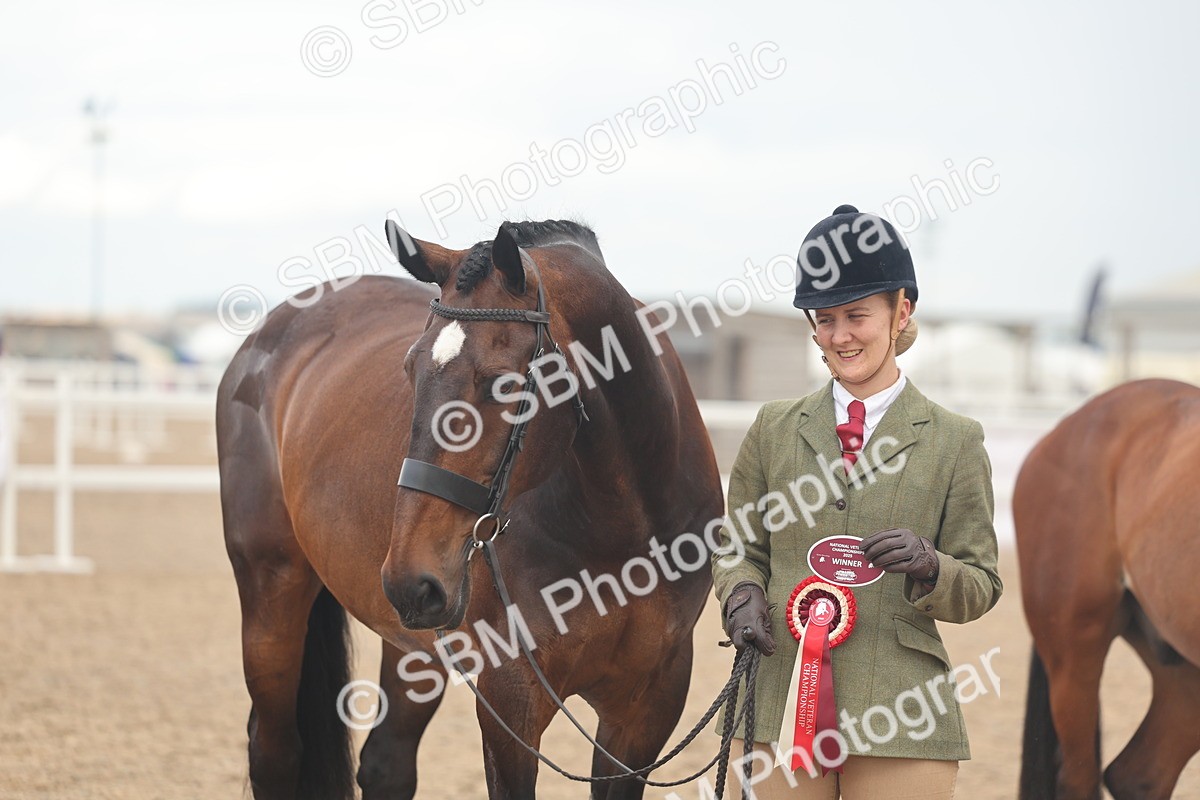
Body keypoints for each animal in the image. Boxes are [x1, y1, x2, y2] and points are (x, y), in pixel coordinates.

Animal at [216, 219, 723, 799]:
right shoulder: (511, 700)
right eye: (409, 369)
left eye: (504, 383)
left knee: (387, 764)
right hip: (273, 595)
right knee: (274, 751)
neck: (623, 525)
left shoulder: (646, 708)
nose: (410, 579)